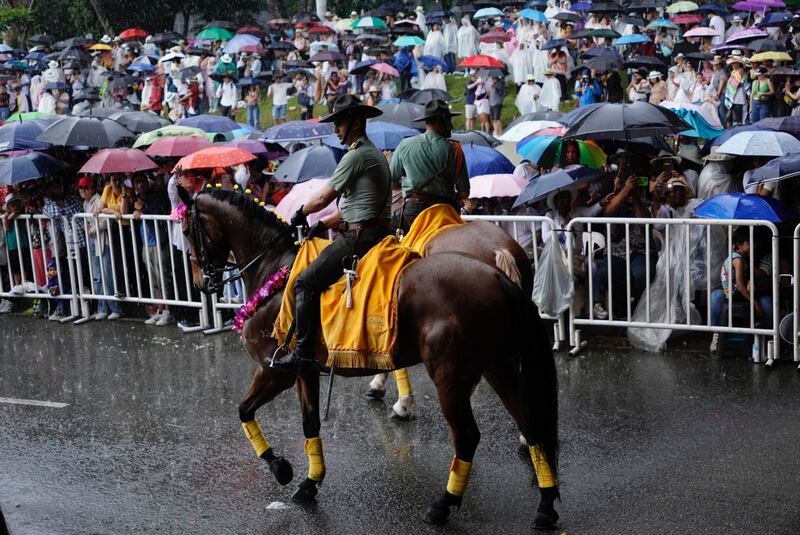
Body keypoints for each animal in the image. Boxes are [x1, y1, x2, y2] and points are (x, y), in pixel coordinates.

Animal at [178, 188, 560, 528]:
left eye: (186, 231)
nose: (200, 283)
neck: (275, 274)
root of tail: (496, 272)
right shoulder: (305, 372)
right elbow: (308, 423)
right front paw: (309, 482)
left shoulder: (276, 371)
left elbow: (244, 411)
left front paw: (281, 468)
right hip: (499, 366)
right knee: (531, 423)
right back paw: (545, 505)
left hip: (450, 376)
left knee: (467, 436)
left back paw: (444, 504)